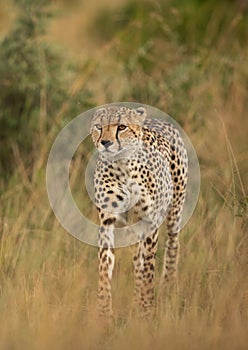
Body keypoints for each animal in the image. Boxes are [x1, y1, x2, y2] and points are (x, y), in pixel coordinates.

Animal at [90, 104, 187, 318]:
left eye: (121, 127)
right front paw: (103, 311)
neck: (122, 166)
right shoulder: (107, 221)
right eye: (99, 127)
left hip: (175, 211)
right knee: (137, 257)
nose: (105, 143)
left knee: (172, 245)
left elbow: (148, 267)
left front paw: (146, 306)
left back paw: (168, 287)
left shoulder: (150, 222)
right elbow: (104, 265)